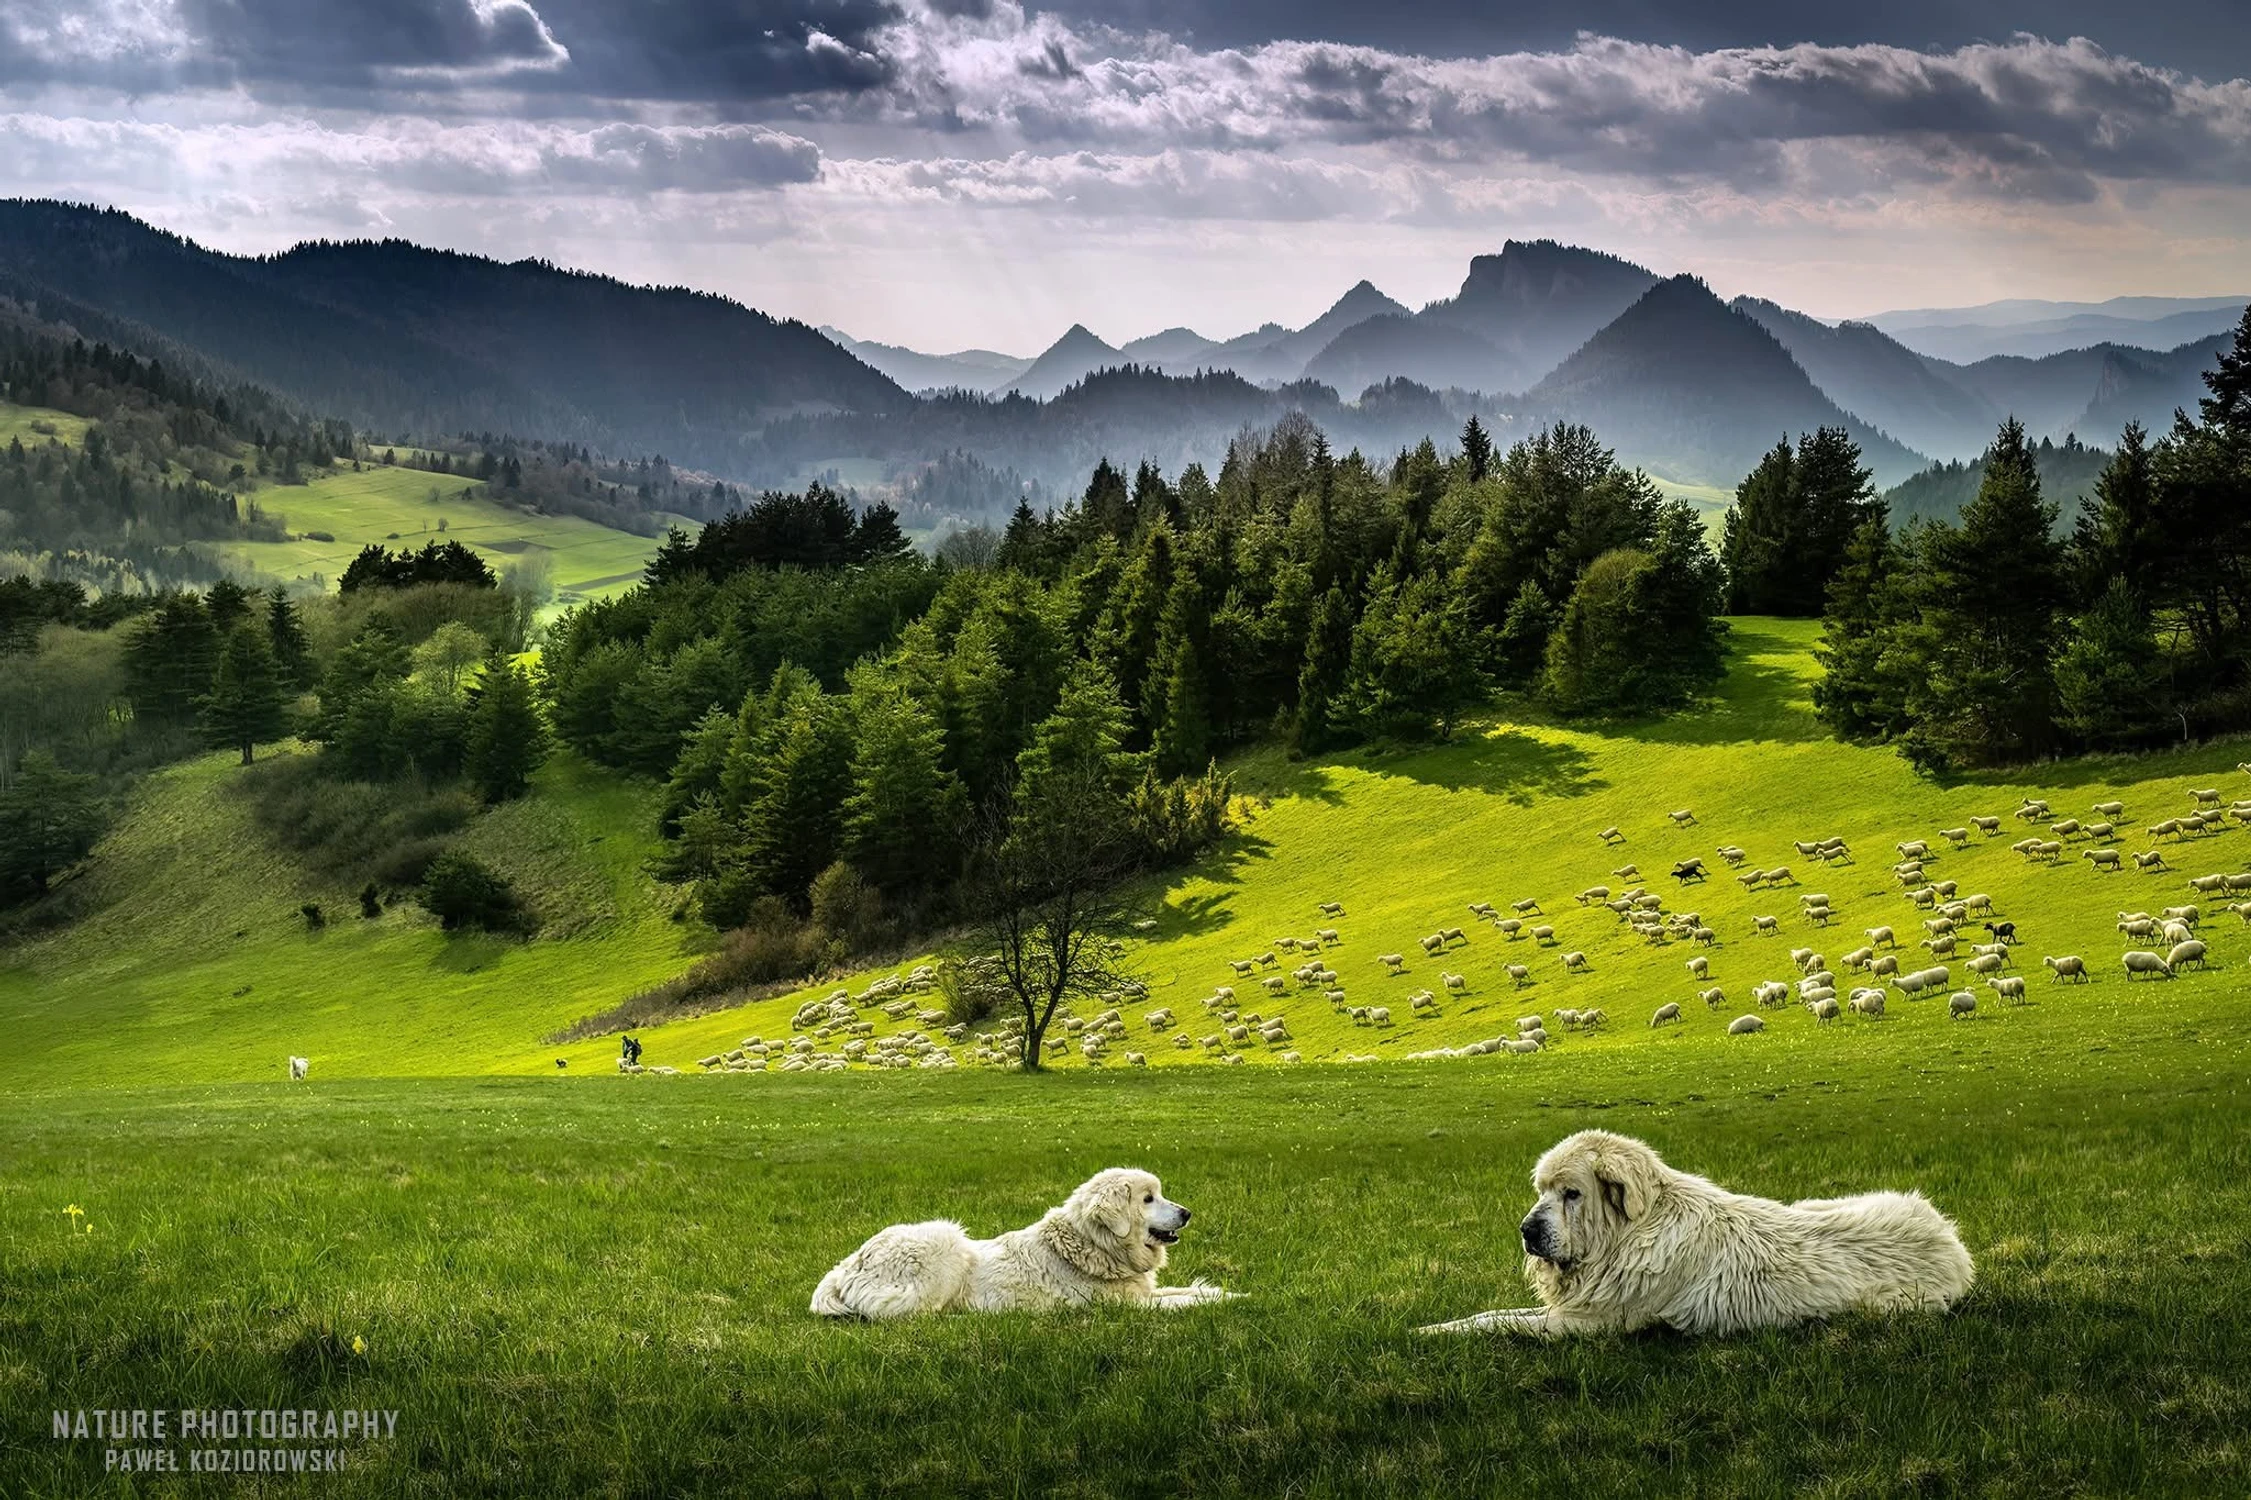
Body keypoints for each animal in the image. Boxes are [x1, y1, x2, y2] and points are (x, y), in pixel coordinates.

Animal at [810, 1162, 1242, 1315]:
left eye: (1159, 1194)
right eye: (1148, 1198)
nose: (1187, 1213)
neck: (1092, 1245)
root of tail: (845, 1266)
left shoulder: (1141, 1290)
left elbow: (1189, 1289)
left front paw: (1233, 1293)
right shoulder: (1123, 1305)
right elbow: (1182, 1302)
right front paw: (1223, 1302)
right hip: (946, 1242)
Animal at [1422, 1121, 1971, 1333]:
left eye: (1571, 1194)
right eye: (1541, 1191)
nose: (1527, 1231)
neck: (1629, 1235)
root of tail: (1949, 1236)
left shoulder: (1589, 1323)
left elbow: (1497, 1324)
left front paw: (1435, 1333)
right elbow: (1491, 1313)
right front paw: (1434, 1326)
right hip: (1819, 1203)